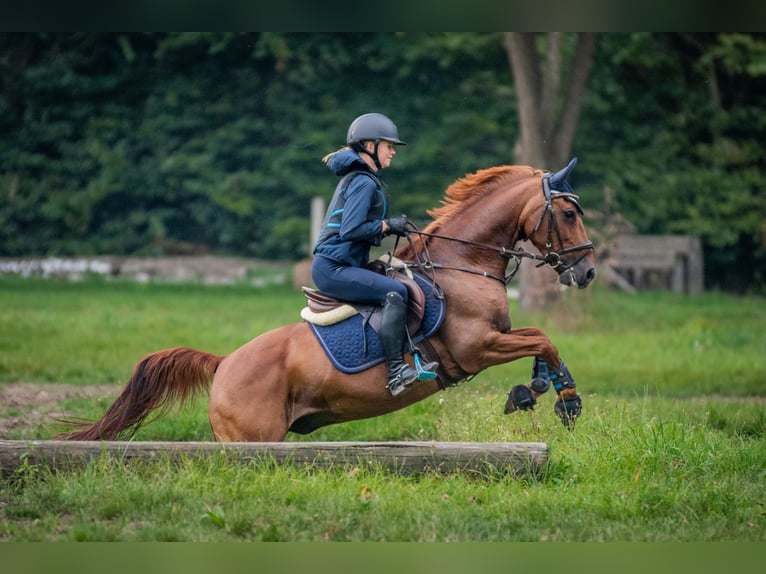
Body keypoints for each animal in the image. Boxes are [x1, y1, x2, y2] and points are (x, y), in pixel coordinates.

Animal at [58, 160, 600, 444]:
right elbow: (544, 339)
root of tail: (223, 363)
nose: (588, 271)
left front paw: (539, 389)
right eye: (569, 214)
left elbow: (540, 340)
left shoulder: (495, 339)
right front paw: (562, 399)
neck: (462, 263)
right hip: (253, 439)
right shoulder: (477, 347)